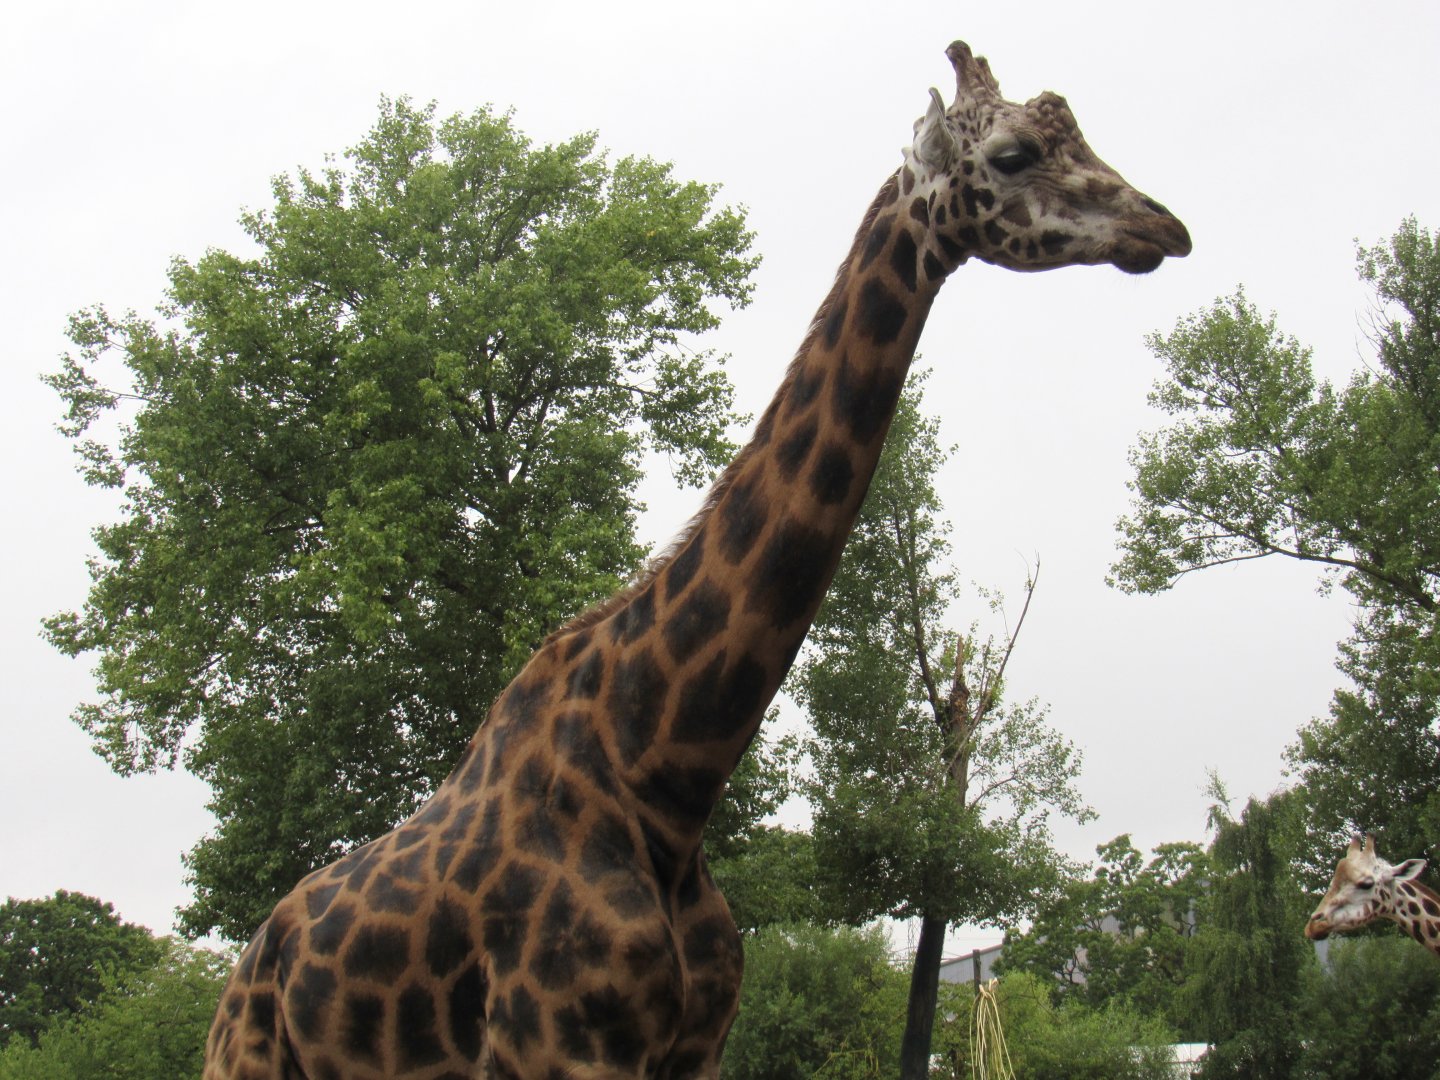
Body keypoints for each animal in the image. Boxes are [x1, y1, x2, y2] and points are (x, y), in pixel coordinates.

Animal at [203, 39, 1190, 1080]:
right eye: (1009, 154)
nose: (1162, 225)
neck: (668, 784)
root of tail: (250, 961)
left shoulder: (694, 1050)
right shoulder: (563, 1050)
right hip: (245, 1057)